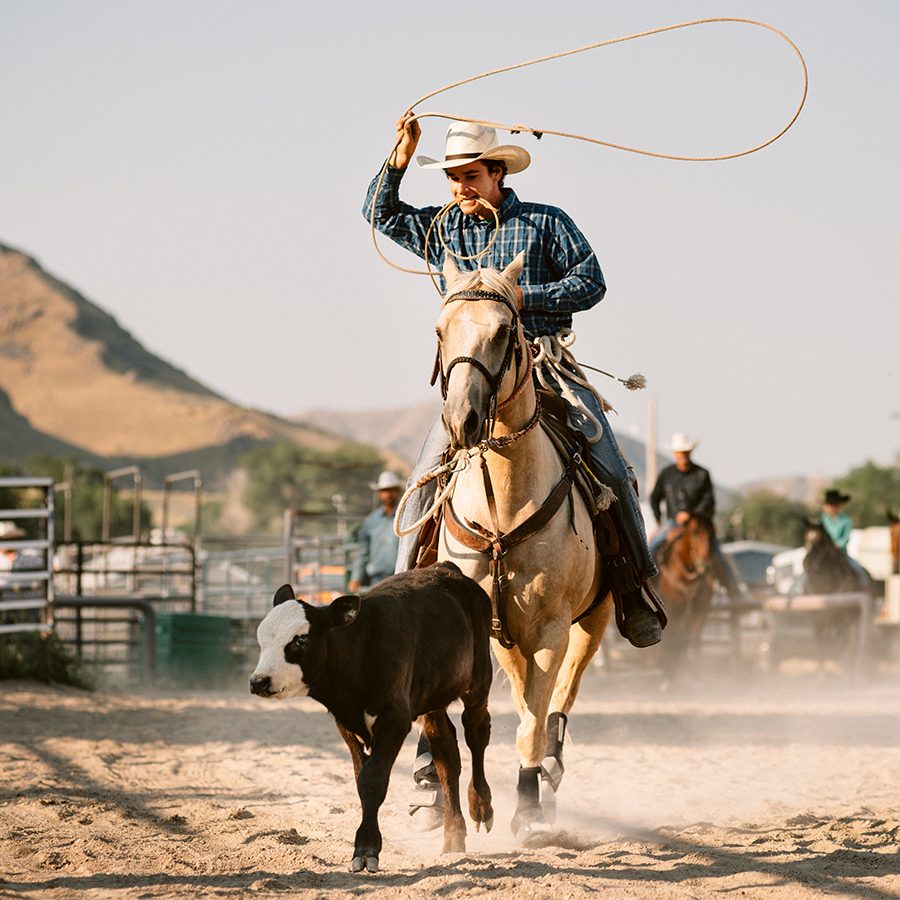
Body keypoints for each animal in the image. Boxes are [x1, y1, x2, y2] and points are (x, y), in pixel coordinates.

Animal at [250, 564, 496, 872]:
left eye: (300, 639)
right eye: (262, 639)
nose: (259, 681)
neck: (359, 649)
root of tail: (447, 569)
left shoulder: (395, 719)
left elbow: (373, 780)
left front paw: (366, 849)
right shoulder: (346, 723)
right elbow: (361, 780)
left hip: (478, 682)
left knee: (476, 733)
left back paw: (481, 805)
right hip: (432, 699)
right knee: (446, 753)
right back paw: (453, 838)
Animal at [428, 253, 612, 844]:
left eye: (506, 331)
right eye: (440, 331)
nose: (461, 420)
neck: (504, 505)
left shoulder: (551, 628)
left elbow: (532, 722)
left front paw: (527, 808)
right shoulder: (495, 629)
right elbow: (503, 712)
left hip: (595, 619)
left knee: (561, 697)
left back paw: (549, 769)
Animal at [652, 512, 712, 676]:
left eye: (712, 531)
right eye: (695, 532)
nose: (705, 566)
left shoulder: (698, 614)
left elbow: (691, 642)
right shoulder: (673, 615)